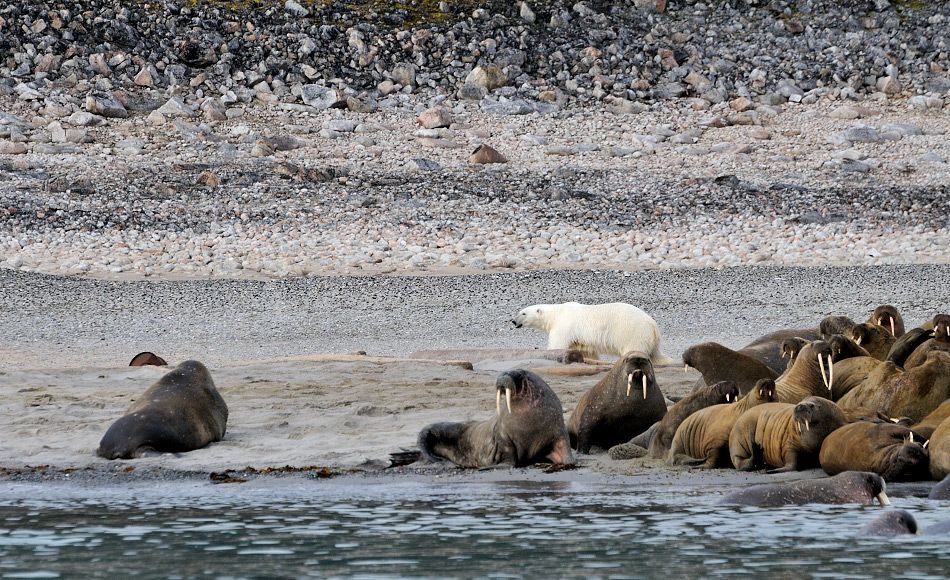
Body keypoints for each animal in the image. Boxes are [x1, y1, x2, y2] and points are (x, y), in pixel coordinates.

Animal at [512, 302, 676, 364]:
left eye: (523, 313)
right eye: (519, 311)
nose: (513, 321)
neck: (556, 313)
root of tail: (653, 326)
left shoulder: (564, 325)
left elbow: (557, 344)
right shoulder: (579, 337)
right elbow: (585, 350)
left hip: (633, 332)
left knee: (633, 349)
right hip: (648, 338)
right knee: (656, 355)